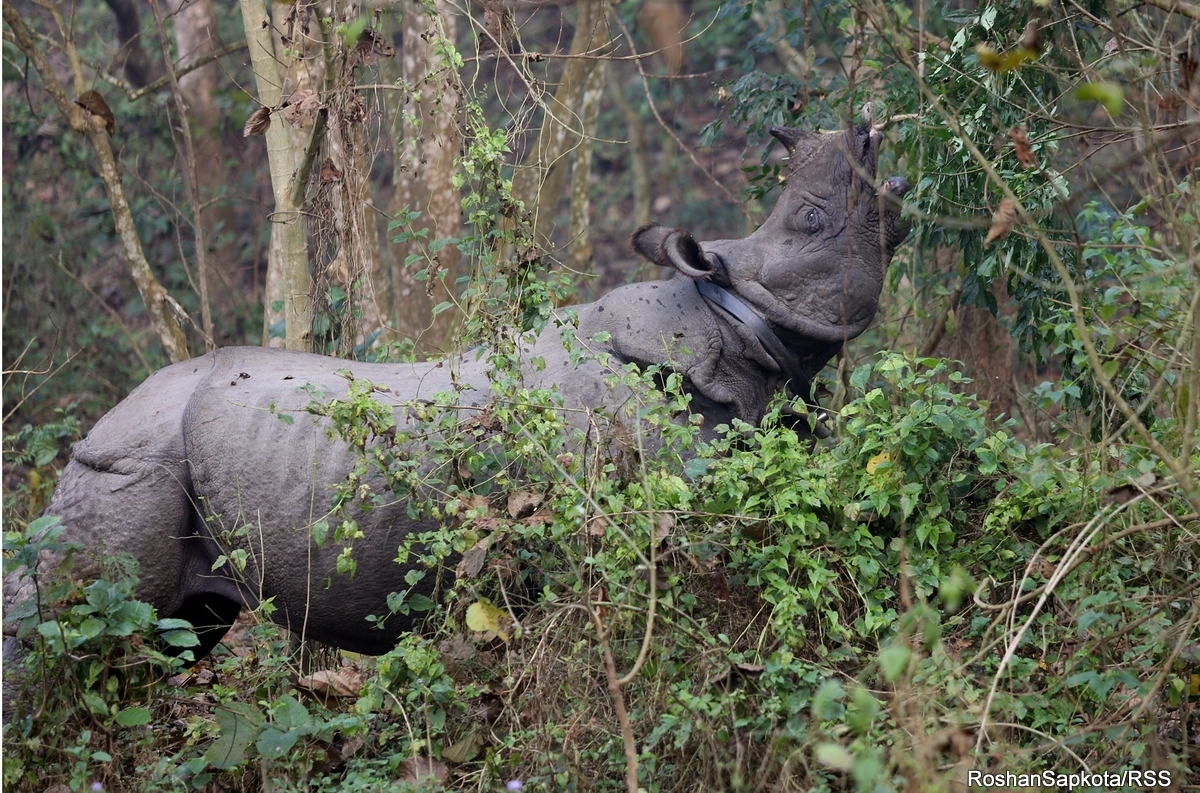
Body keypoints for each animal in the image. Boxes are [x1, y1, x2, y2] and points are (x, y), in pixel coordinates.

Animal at [4, 123, 907, 657]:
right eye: (816, 219)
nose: (864, 136)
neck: (734, 325)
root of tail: (97, 424)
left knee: (174, 636)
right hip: (125, 463)